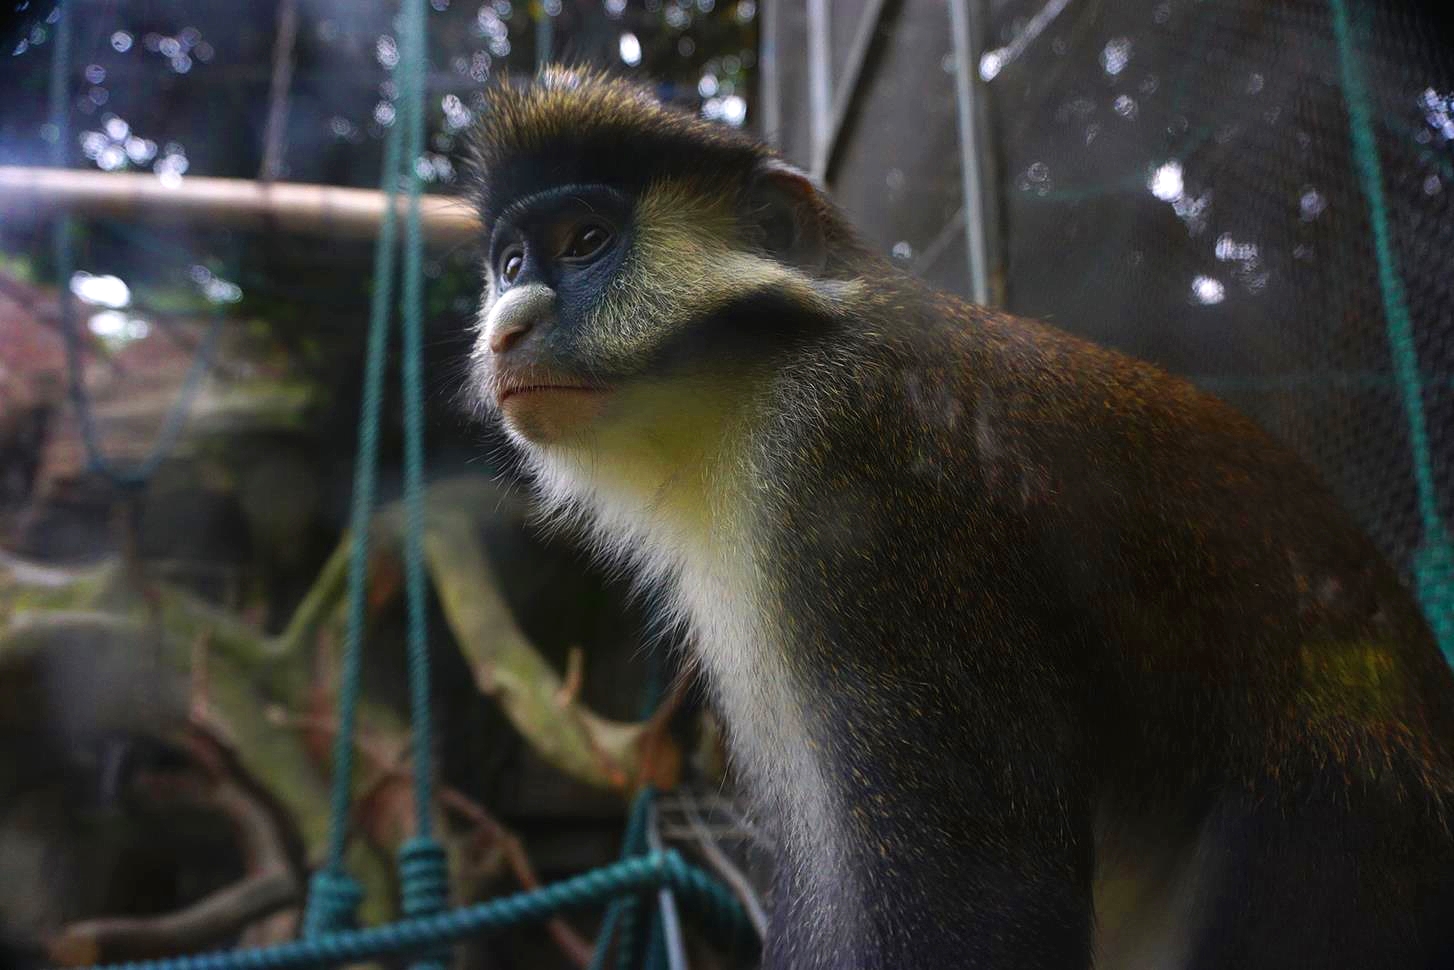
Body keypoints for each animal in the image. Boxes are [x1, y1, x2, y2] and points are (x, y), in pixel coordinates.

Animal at [462, 67, 1454, 970]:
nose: (506, 328)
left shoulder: (849, 468)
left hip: (1340, 821)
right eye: (510, 267)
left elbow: (980, 898)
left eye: (586, 243)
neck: (756, 375)